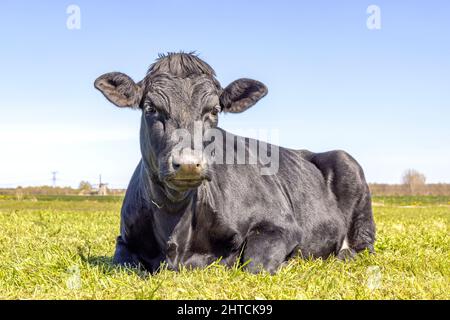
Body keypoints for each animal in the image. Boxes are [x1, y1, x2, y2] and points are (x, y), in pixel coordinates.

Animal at [93, 52, 374, 276]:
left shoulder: (282, 225)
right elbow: (123, 264)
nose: (188, 163)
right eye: (150, 108)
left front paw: (288, 262)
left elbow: (254, 265)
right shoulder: (124, 240)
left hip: (349, 170)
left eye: (214, 110)